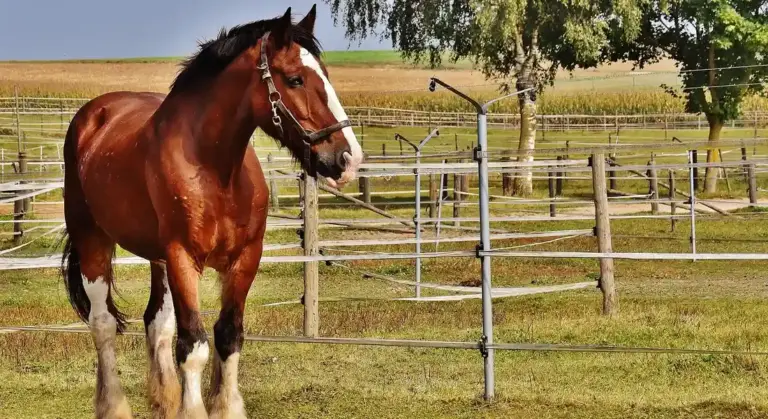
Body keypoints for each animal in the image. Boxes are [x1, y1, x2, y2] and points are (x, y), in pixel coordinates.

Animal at [60, 6, 362, 418]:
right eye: (295, 79)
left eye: (326, 75)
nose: (348, 159)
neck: (215, 171)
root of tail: (94, 114)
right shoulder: (183, 259)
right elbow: (194, 346)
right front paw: (194, 408)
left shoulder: (244, 258)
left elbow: (228, 336)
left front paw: (223, 406)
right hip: (93, 240)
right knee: (103, 324)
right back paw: (114, 406)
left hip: (157, 259)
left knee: (157, 323)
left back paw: (164, 400)